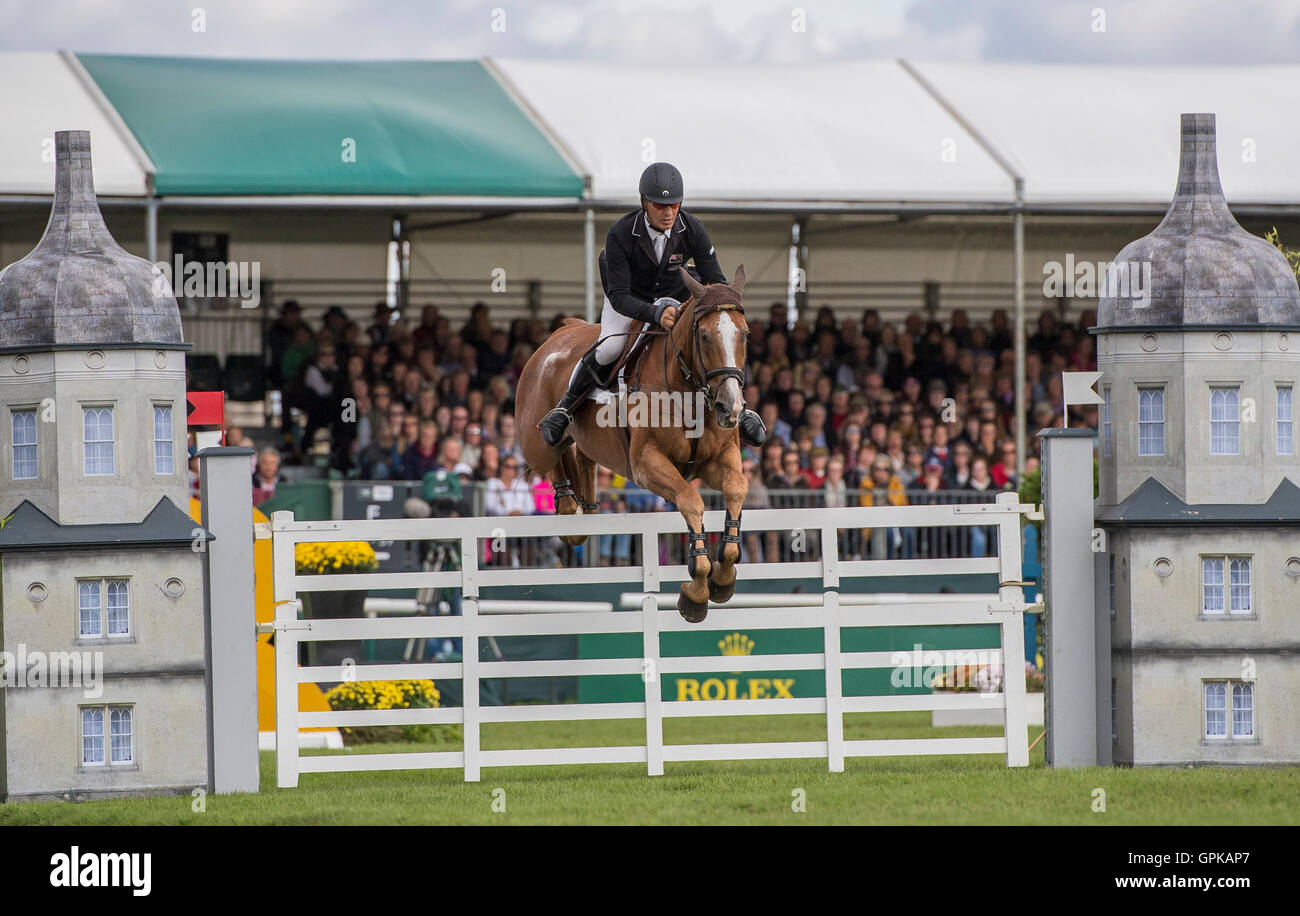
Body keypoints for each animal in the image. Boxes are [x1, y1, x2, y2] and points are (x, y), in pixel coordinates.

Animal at [517, 265, 754, 621]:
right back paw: (565, 487)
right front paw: (697, 590)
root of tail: (559, 334)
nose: (731, 408)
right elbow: (690, 500)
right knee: (553, 456)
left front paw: (722, 577)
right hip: (534, 443)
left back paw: (585, 508)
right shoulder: (646, 464)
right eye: (703, 336)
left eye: (745, 335)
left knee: (582, 460)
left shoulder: (717, 460)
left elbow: (737, 487)